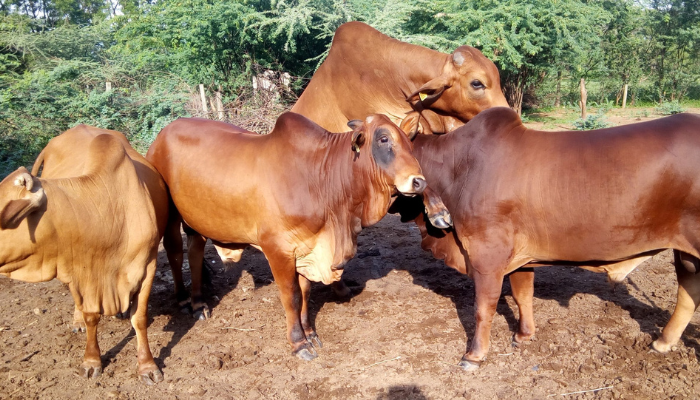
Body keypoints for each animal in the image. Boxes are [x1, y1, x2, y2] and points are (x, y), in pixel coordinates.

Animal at [0, 127, 167, 384]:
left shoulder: (147, 265)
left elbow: (139, 319)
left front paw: (147, 365)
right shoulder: (82, 273)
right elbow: (91, 316)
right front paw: (91, 361)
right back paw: (77, 320)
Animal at [146, 112, 451, 360]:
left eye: (410, 143)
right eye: (384, 139)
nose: (418, 181)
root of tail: (165, 131)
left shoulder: (307, 247)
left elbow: (305, 292)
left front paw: (310, 332)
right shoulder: (277, 249)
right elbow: (291, 295)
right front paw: (299, 343)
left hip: (197, 221)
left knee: (196, 251)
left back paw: (199, 302)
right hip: (172, 217)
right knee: (176, 252)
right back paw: (186, 300)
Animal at [395, 107, 700, 370]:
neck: (458, 169)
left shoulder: (487, 255)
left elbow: (484, 306)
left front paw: (474, 355)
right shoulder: (521, 258)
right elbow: (523, 294)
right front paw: (524, 335)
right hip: (686, 254)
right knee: (688, 293)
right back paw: (662, 342)